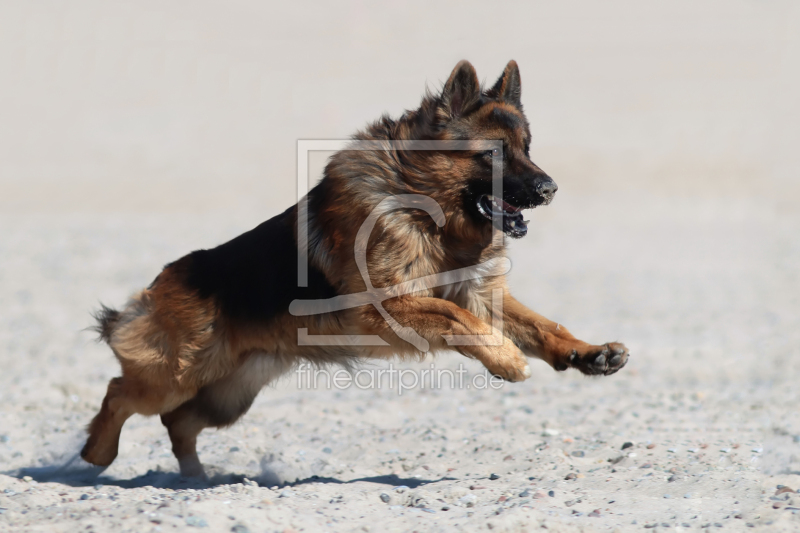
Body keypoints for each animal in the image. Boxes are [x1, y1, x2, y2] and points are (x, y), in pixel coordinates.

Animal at [83, 60, 632, 476]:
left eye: (527, 148)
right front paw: (504, 358)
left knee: (177, 424)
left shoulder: (476, 293)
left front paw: (586, 353)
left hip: (227, 394)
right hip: (175, 375)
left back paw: (193, 475)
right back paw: (95, 455)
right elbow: (459, 320)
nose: (550, 189)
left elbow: (541, 325)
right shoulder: (388, 305)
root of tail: (158, 286)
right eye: (494, 154)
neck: (425, 207)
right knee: (119, 394)